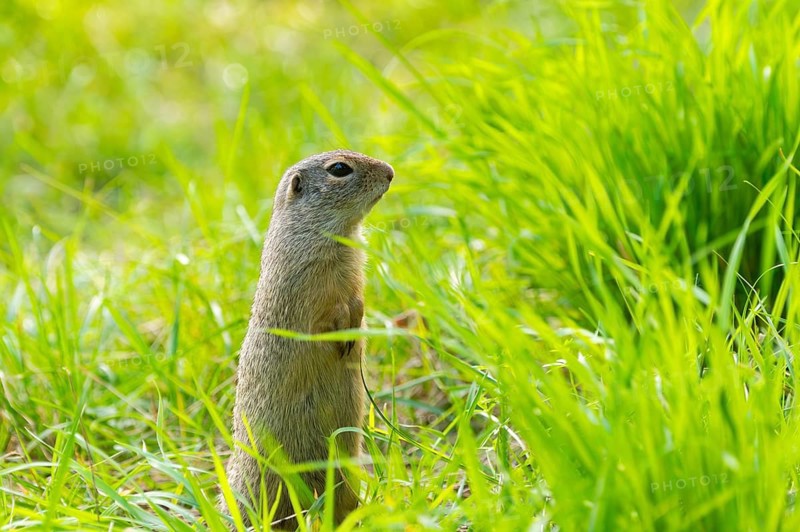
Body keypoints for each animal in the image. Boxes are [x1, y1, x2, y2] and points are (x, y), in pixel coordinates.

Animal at [221, 150, 394, 528]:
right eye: (339, 169)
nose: (390, 172)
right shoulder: (310, 284)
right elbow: (328, 313)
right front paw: (345, 336)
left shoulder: (354, 277)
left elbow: (358, 302)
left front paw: (355, 332)